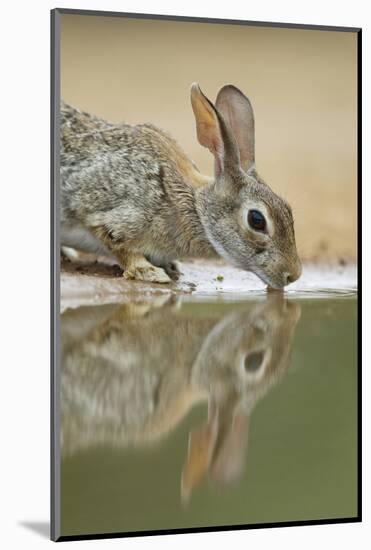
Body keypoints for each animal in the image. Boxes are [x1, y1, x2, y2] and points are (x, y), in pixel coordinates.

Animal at [60, 83, 302, 288]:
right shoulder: (107, 215)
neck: (196, 208)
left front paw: (171, 266)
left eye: (289, 211)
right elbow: (122, 248)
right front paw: (150, 272)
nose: (293, 275)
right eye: (257, 220)